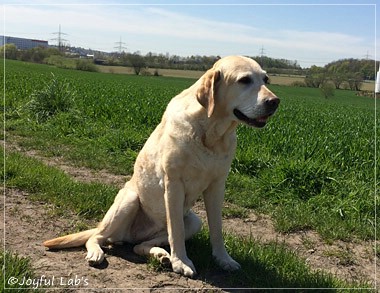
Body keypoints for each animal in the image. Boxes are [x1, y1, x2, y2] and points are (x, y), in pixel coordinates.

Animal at [43, 54, 280, 276]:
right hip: (129, 200)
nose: (275, 101)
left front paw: (223, 259)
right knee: (96, 237)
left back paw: (160, 255)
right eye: (244, 80)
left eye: (266, 79)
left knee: (139, 246)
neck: (211, 134)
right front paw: (181, 262)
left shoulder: (217, 186)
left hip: (193, 222)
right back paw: (97, 252)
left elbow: (217, 229)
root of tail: (129, 235)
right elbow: (176, 230)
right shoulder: (173, 184)